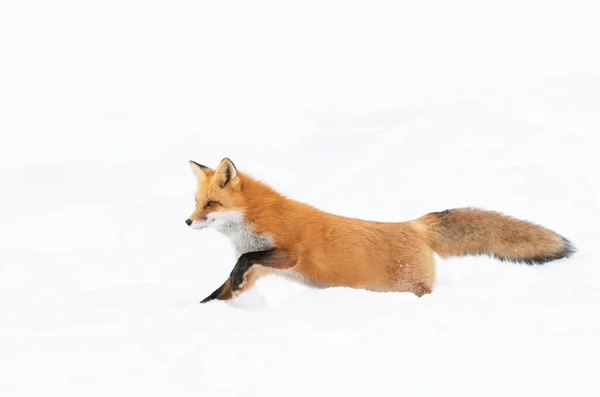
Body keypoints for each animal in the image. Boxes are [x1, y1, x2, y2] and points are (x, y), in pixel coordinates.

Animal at [185, 157, 576, 300]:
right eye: (196, 202)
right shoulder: (258, 269)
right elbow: (227, 284)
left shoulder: (289, 253)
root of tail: (415, 226)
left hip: (410, 287)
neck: (255, 219)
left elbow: (243, 261)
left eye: (211, 204)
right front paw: (205, 308)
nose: (187, 221)